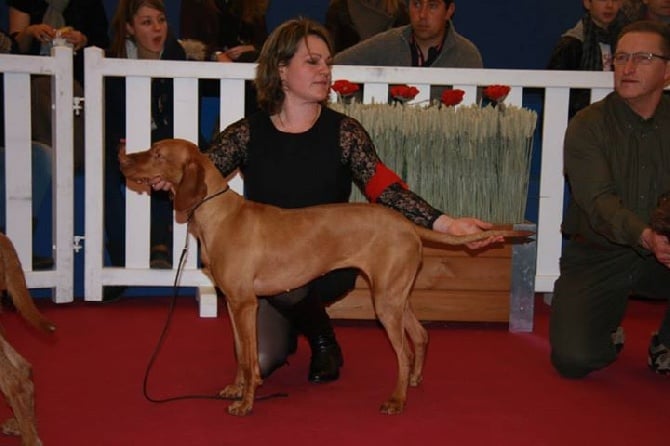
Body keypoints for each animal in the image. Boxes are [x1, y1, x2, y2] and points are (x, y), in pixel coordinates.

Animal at [119, 138, 532, 416]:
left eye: (157, 154)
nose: (122, 161)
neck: (219, 214)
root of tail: (405, 223)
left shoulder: (246, 303)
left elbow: (250, 356)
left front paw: (247, 402)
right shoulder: (234, 303)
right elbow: (239, 353)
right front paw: (236, 388)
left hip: (386, 303)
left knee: (401, 351)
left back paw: (397, 399)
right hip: (396, 295)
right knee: (421, 335)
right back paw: (414, 381)